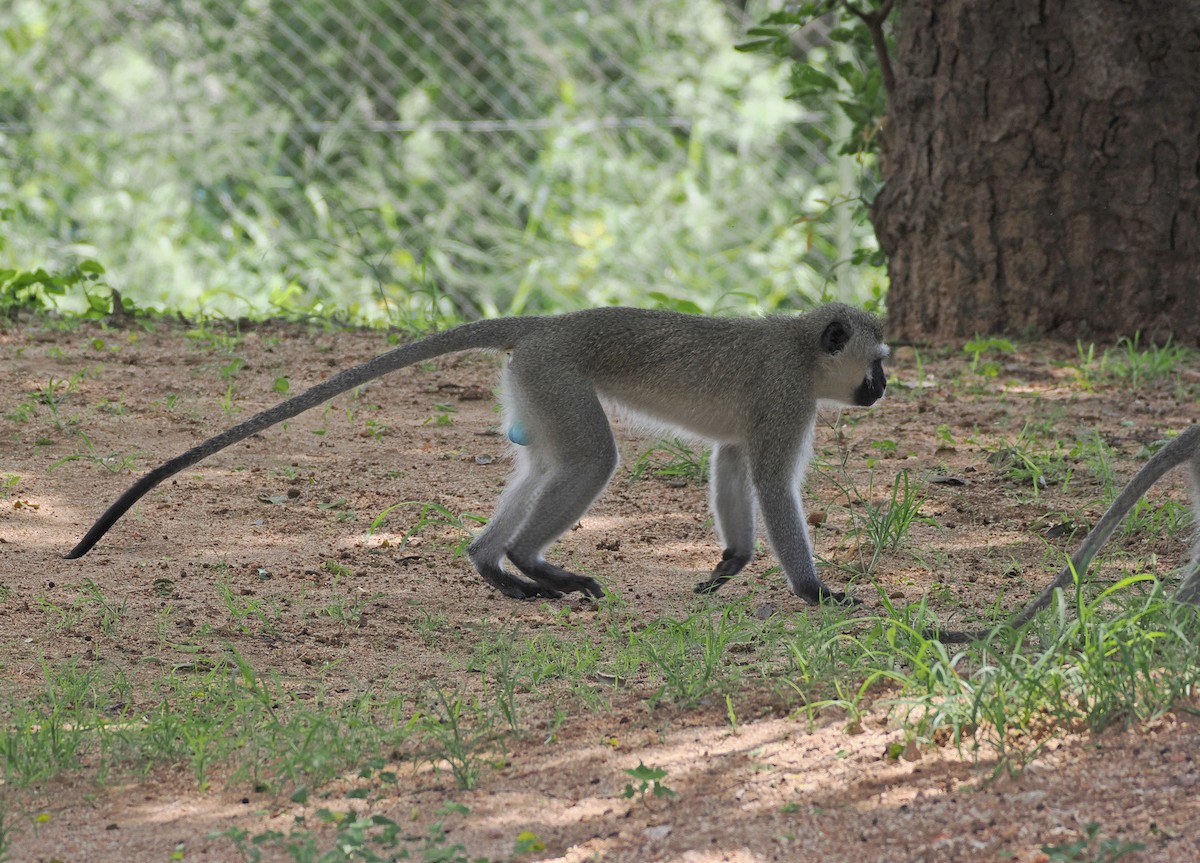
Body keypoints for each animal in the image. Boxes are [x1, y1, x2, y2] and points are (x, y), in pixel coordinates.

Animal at [65, 303, 889, 604]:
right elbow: (772, 481)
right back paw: (529, 562)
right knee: (588, 461)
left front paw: (729, 563)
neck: (802, 347)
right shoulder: (786, 398)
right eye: (876, 361)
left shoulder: (756, 419)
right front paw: (815, 591)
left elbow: (732, 460)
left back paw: (495, 565)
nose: (884, 388)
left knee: (548, 465)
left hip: (535, 385)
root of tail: (549, 324)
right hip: (556, 375)